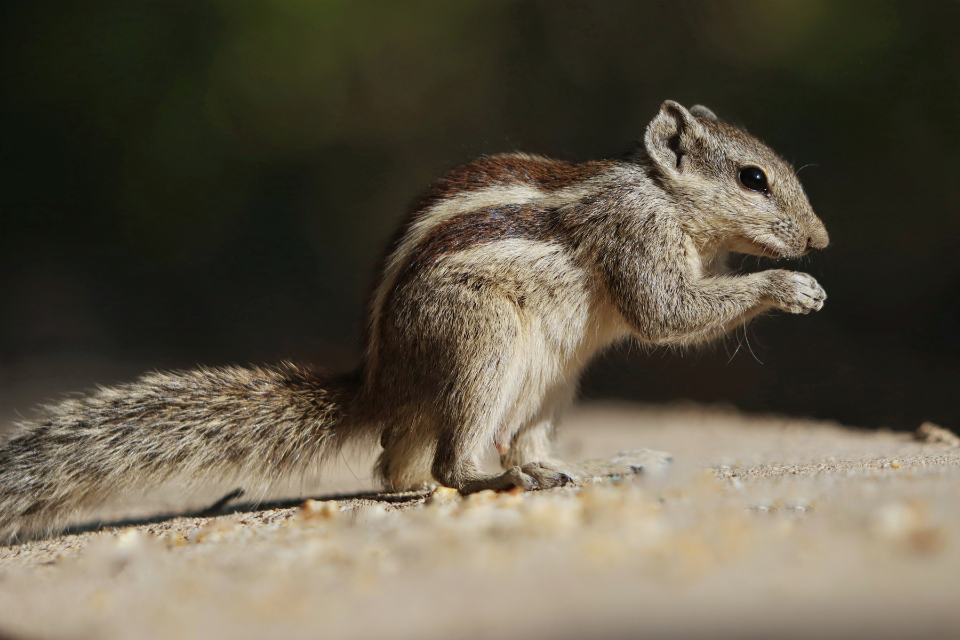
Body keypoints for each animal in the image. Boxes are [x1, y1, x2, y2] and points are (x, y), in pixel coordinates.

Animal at [0, 100, 824, 540]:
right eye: (754, 178)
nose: (820, 241)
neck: (663, 198)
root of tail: (382, 383)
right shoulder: (636, 237)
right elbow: (668, 312)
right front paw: (790, 286)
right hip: (483, 340)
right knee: (445, 469)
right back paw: (501, 480)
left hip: (551, 382)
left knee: (404, 469)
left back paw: (552, 468)